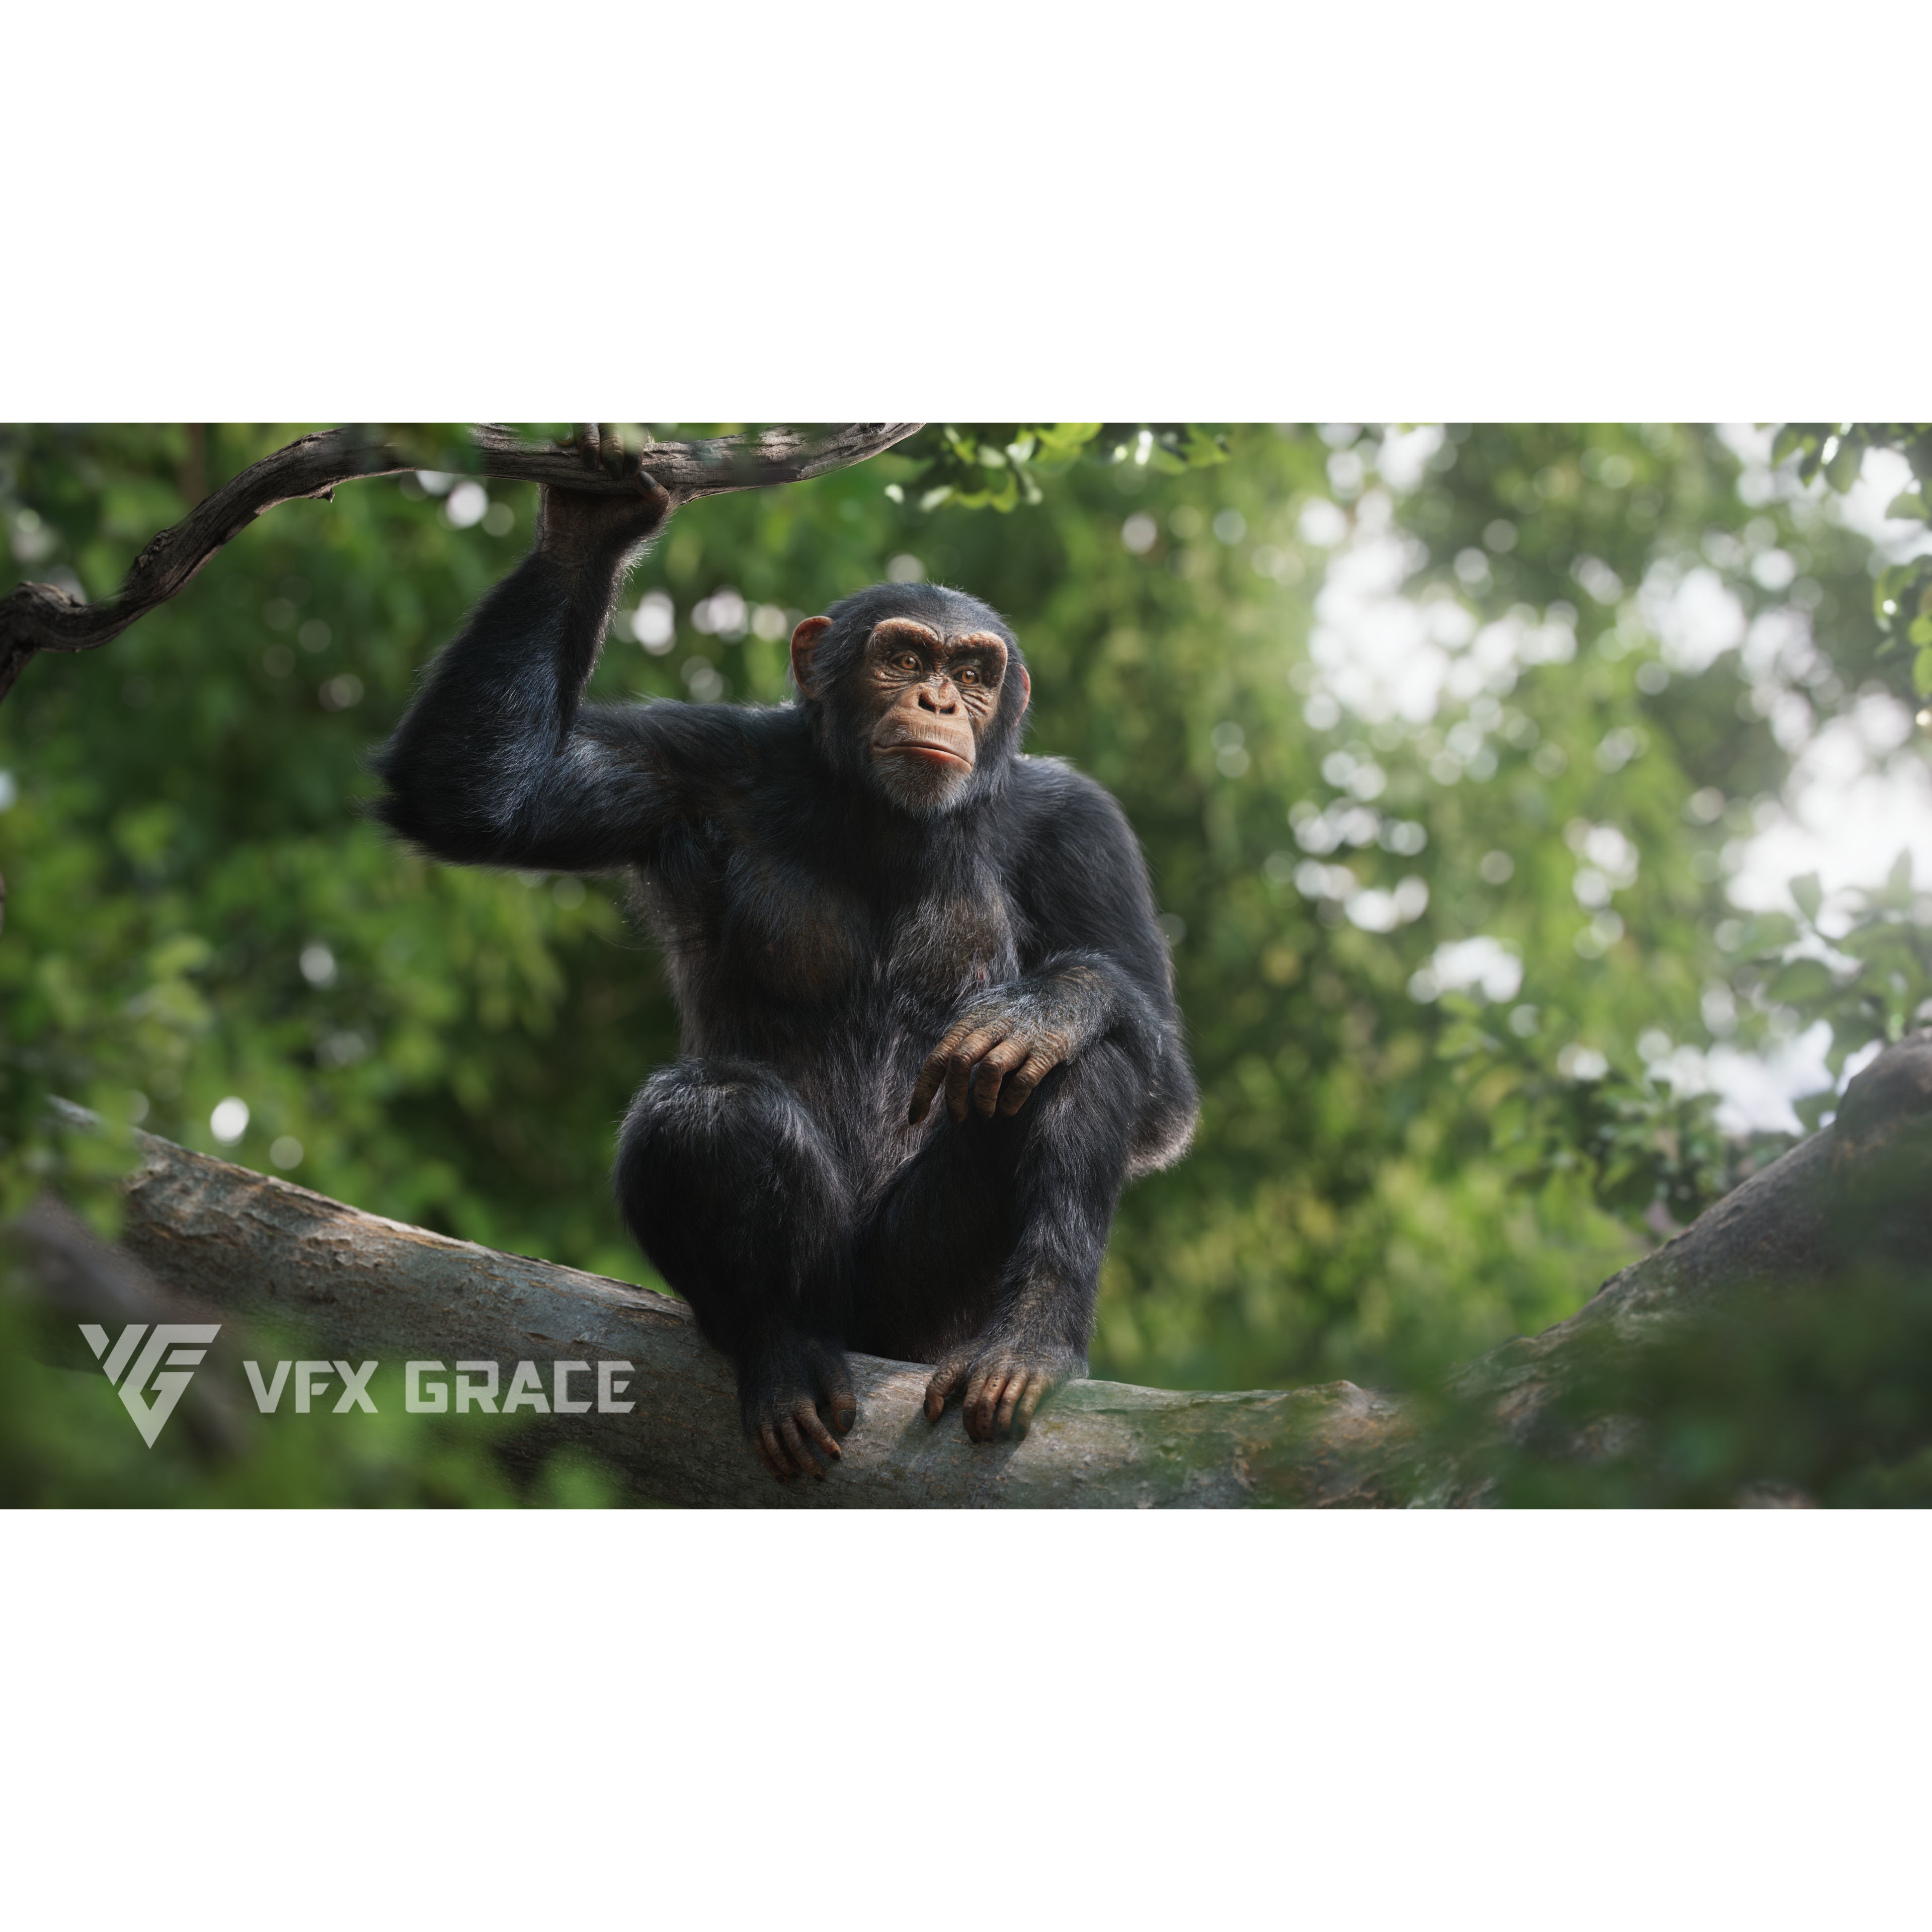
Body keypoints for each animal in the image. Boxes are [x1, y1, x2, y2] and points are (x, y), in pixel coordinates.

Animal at [372, 425, 1197, 1481]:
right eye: (902, 655)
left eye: (975, 672)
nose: (939, 699)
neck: (886, 819)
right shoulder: (687, 761)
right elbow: (478, 796)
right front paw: (595, 525)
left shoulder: (1084, 829)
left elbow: (1161, 1089)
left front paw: (1047, 1007)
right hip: (833, 1297)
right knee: (708, 1111)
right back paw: (784, 1355)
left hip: (922, 1310)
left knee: (1074, 1066)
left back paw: (1029, 1341)